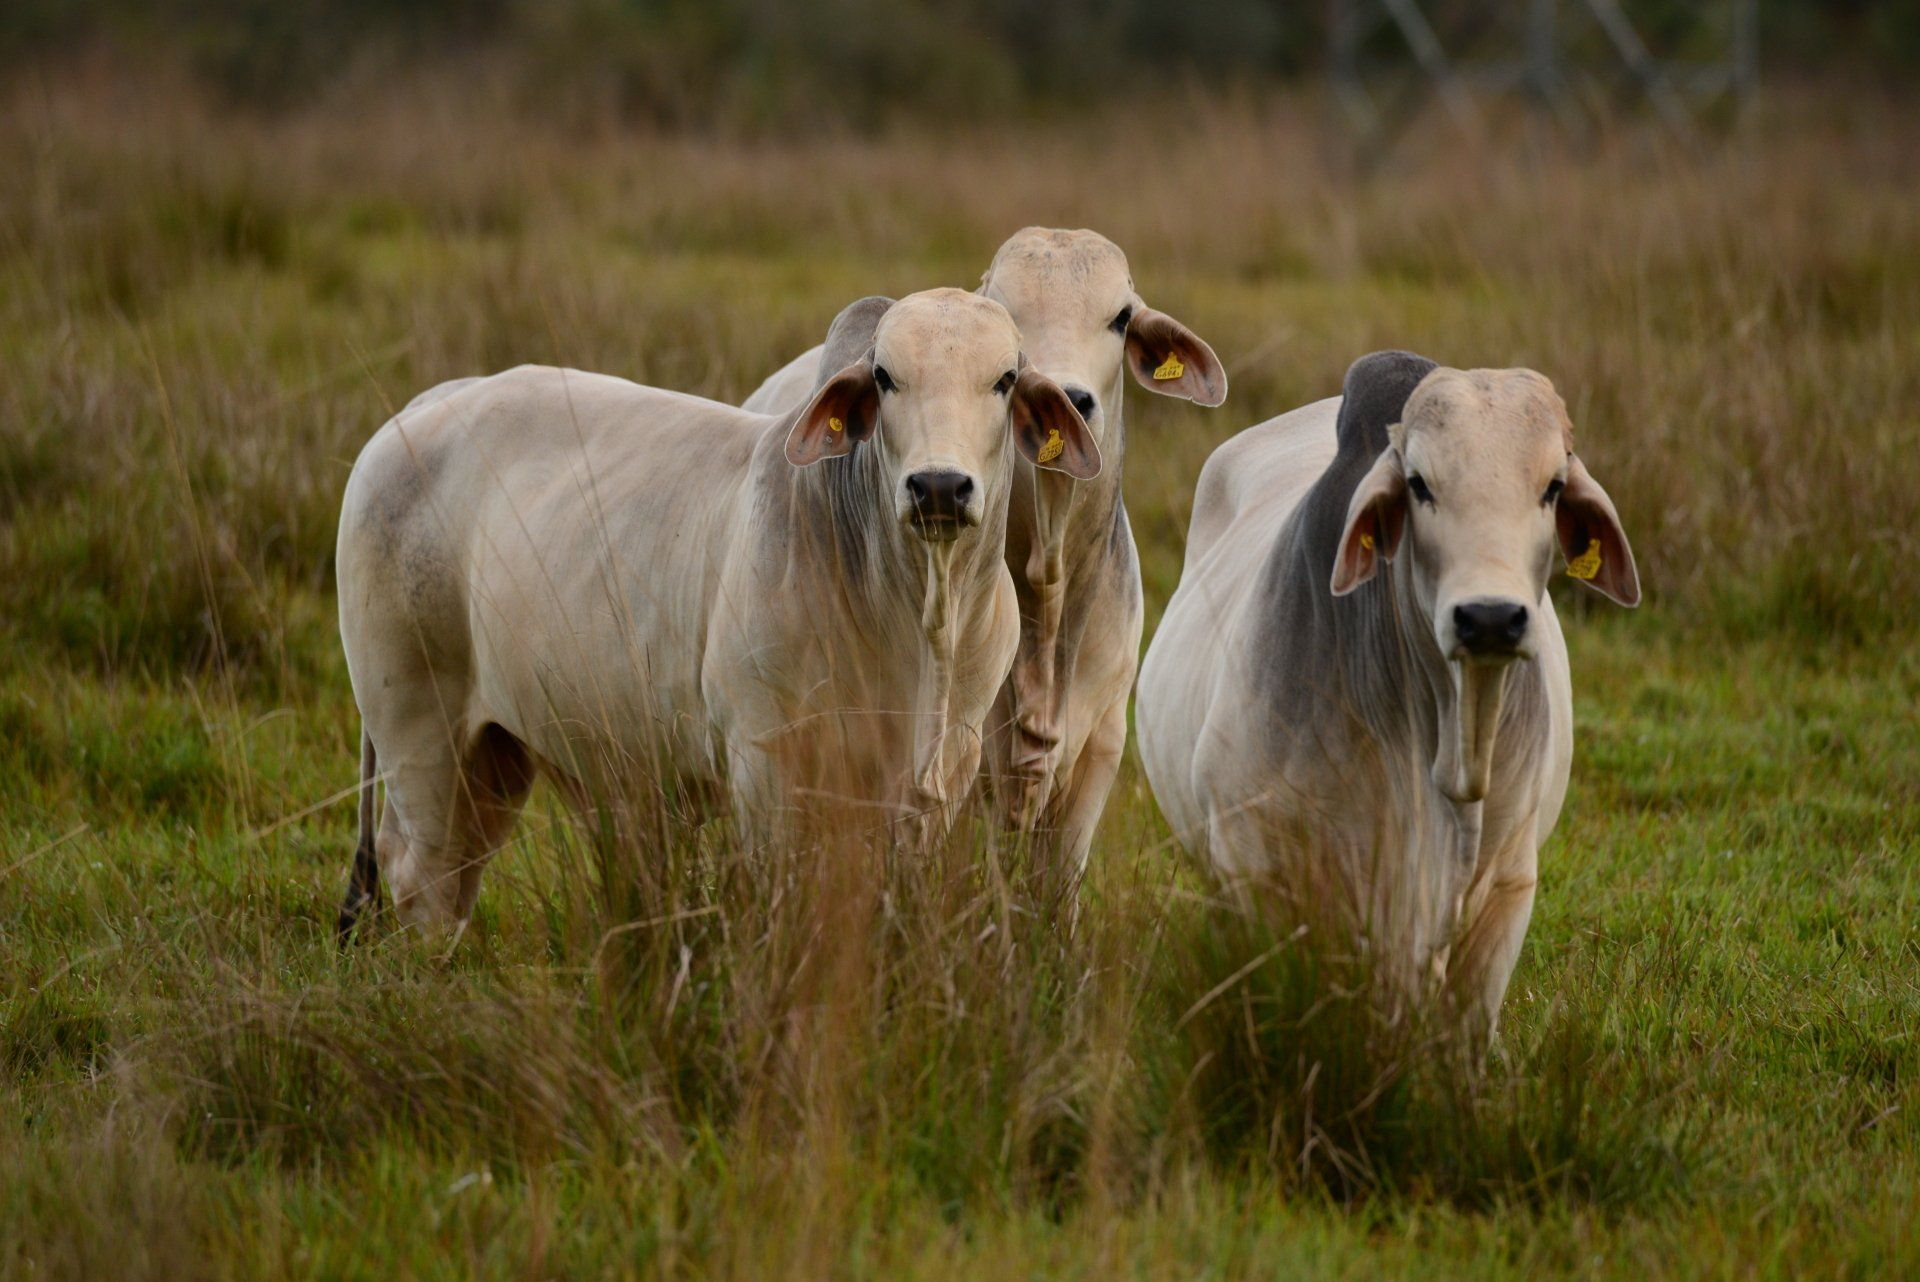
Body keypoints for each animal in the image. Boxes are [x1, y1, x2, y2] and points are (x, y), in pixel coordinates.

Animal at [334, 288, 1099, 936]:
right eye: (884, 377)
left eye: (1004, 379)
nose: (939, 485)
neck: (921, 624)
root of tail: (431, 401)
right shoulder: (765, 766)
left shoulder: (941, 777)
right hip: (419, 725)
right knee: (421, 874)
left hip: (497, 753)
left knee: (459, 870)